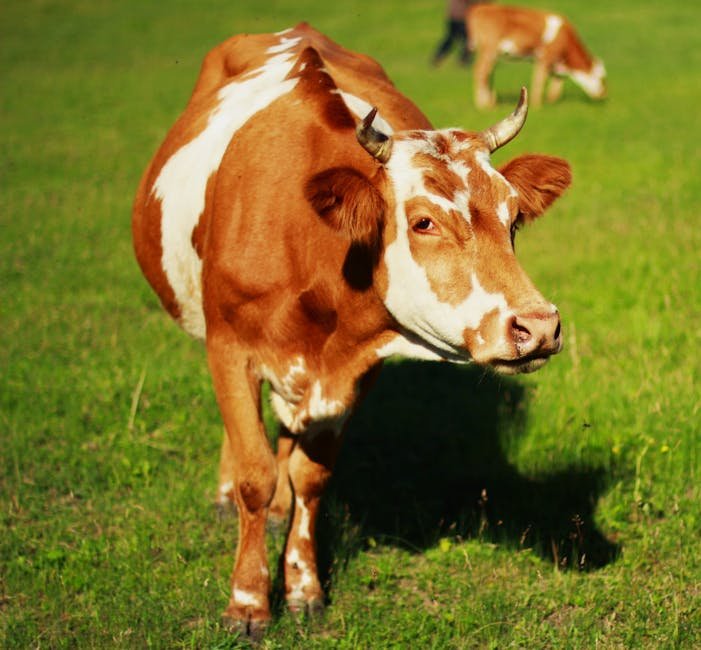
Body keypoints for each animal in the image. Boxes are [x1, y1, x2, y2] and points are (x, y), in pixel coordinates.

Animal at [132, 22, 571, 638]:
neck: (307, 246)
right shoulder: (230, 348)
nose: (538, 325)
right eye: (423, 222)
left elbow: (309, 477)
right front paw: (247, 601)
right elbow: (253, 473)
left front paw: (303, 586)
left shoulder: (352, 371)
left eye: (514, 220)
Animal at [467, 4, 606, 109]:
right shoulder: (546, 57)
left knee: (488, 73)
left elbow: (557, 83)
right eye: (602, 78)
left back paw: (491, 102)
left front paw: (551, 101)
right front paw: (537, 105)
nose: (604, 95)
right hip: (488, 49)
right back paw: (483, 105)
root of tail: (481, 8)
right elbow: (540, 80)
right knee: (480, 71)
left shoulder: (553, 62)